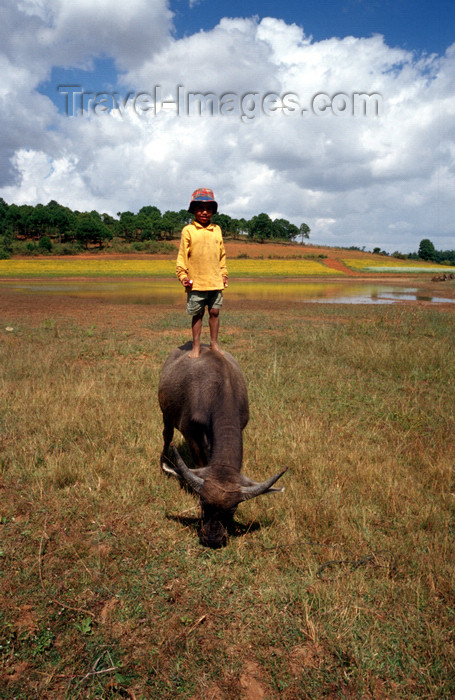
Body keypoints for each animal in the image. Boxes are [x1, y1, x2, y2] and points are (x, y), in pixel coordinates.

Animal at [159, 344, 286, 548]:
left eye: (233, 509)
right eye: (202, 502)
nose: (212, 538)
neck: (221, 390)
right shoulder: (190, 433)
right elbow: (199, 461)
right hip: (166, 414)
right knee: (166, 435)